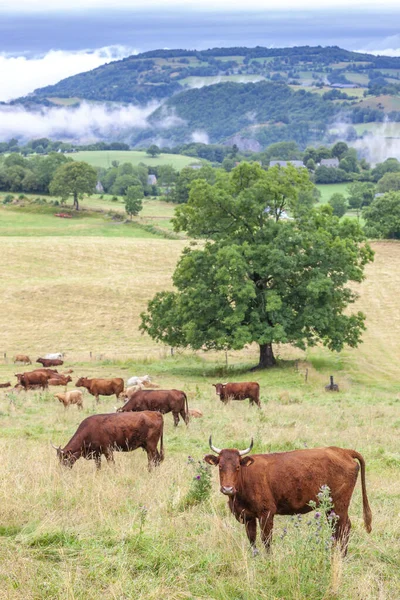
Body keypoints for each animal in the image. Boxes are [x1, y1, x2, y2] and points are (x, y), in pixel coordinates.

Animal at [205, 436, 374, 556]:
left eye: (237, 467)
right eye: (220, 466)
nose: (227, 488)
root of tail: (343, 451)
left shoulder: (267, 513)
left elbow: (266, 540)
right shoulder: (248, 516)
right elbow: (252, 539)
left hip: (339, 505)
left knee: (344, 528)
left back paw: (340, 556)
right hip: (331, 507)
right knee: (336, 529)